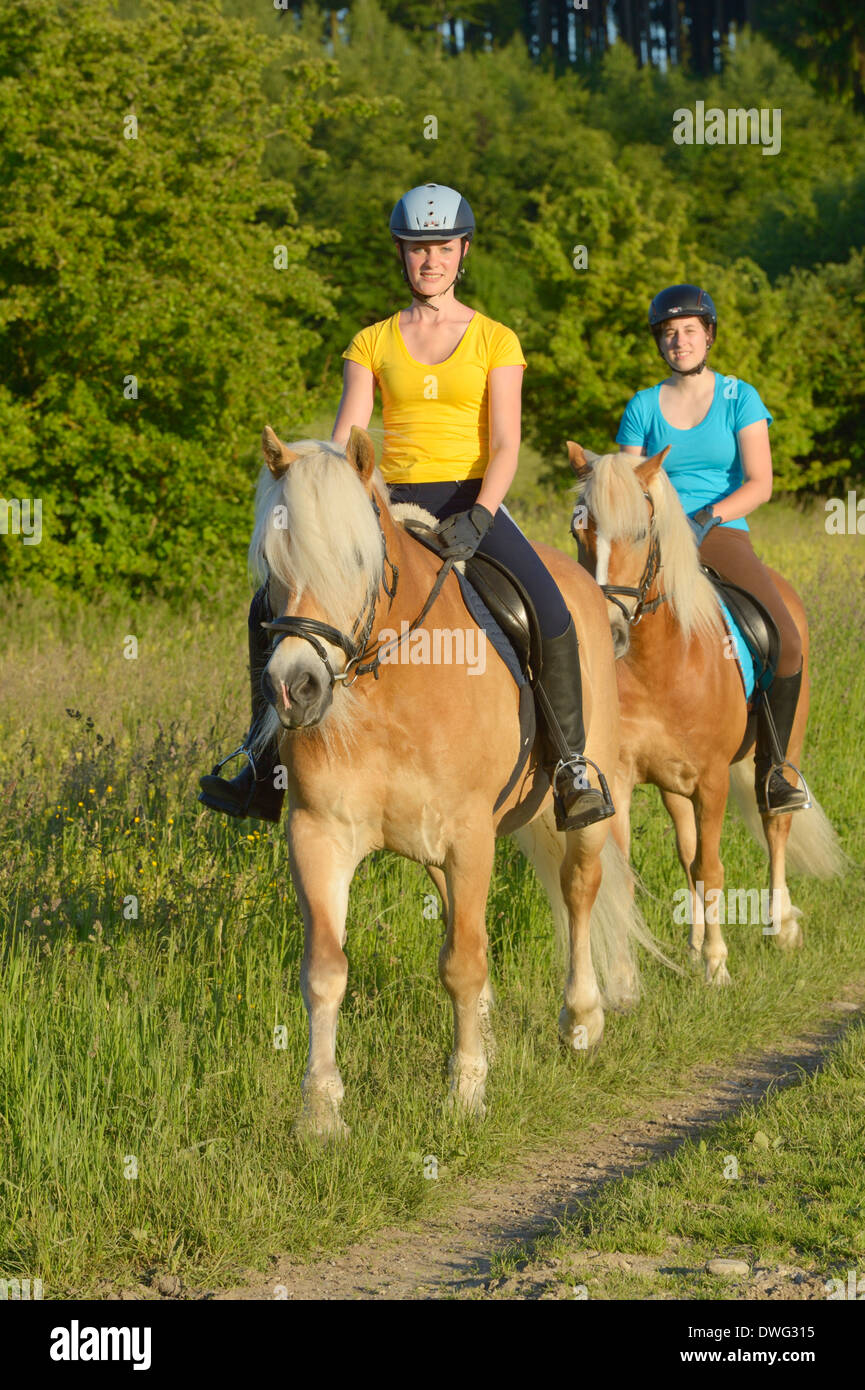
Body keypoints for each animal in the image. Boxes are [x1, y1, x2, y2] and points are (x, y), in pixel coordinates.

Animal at [245, 424, 660, 1137]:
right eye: (273, 563)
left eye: (355, 556)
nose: (295, 688)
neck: (391, 684)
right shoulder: (319, 836)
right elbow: (326, 970)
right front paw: (321, 1113)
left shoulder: (468, 836)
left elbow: (462, 965)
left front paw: (465, 1093)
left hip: (582, 803)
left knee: (578, 891)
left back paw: (582, 1020)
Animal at [568, 442, 845, 986]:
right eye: (578, 533)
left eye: (640, 533)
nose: (609, 632)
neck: (660, 662)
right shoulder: (626, 779)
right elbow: (643, 872)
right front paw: (627, 975)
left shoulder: (714, 779)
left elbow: (713, 869)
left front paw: (718, 964)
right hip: (677, 786)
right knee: (688, 849)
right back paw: (695, 942)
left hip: (783, 751)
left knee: (774, 825)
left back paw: (780, 927)